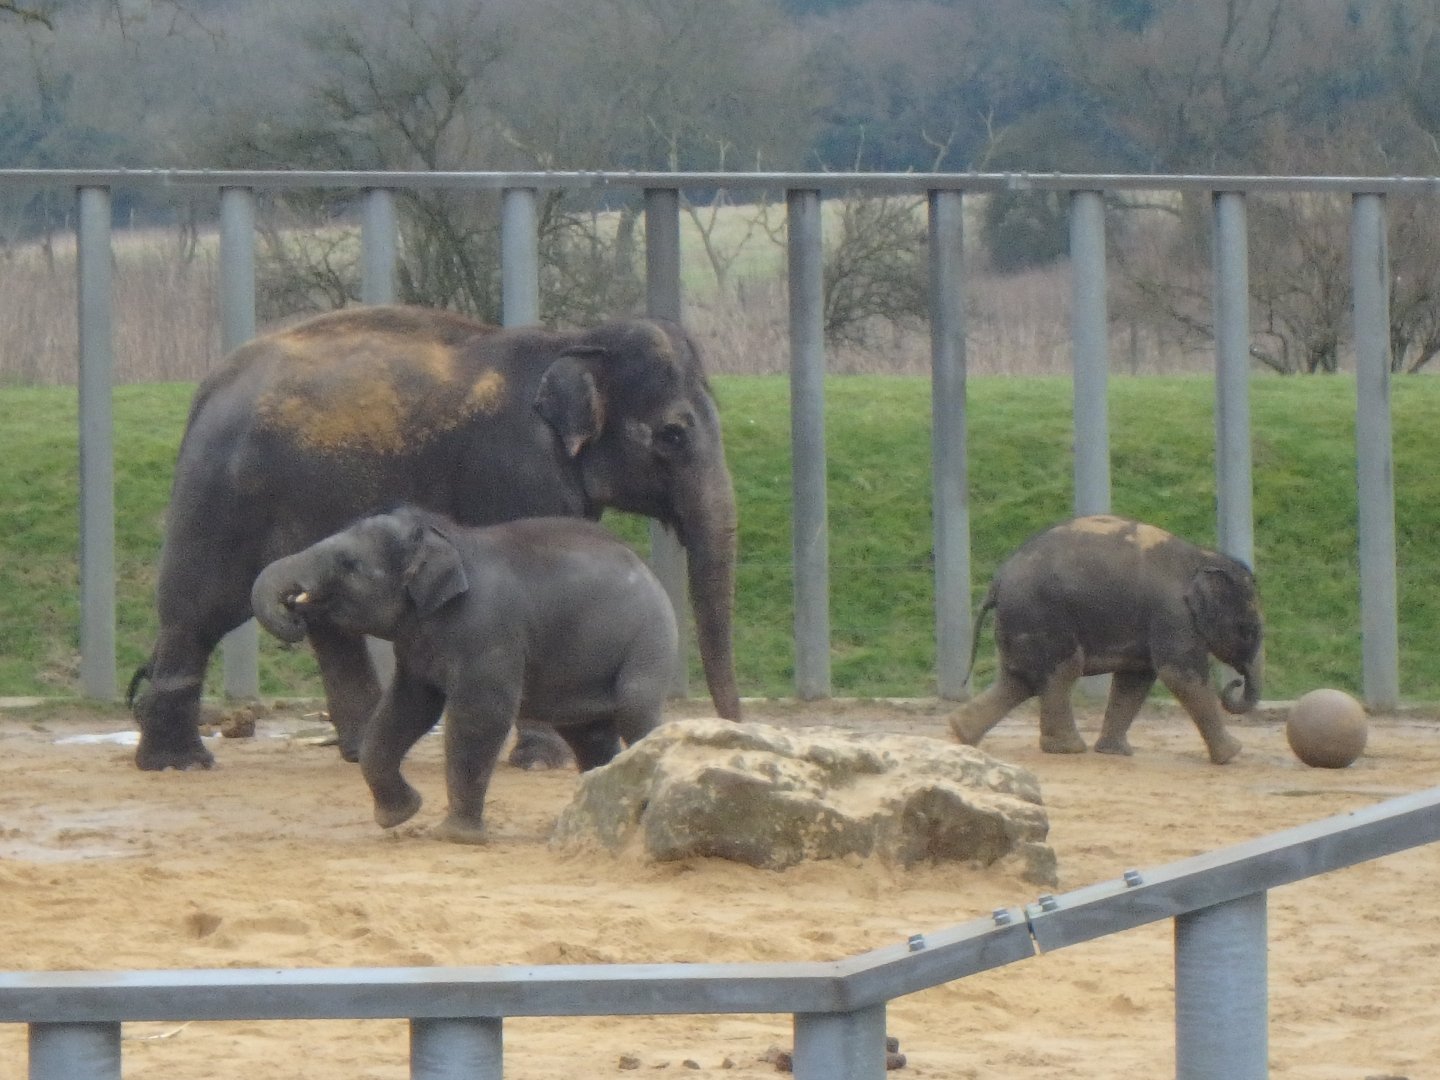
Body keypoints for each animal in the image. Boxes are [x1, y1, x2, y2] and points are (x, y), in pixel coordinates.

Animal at [128, 304, 738, 771]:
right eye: (673, 435)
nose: (734, 731)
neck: (574, 340)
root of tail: (209, 386)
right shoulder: (517, 469)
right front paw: (543, 763)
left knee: (318, 622)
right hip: (221, 500)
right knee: (197, 611)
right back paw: (179, 764)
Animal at [251, 508, 678, 843]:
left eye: (347, 563)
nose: (294, 610)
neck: (443, 536)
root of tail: (650, 570)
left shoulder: (487, 628)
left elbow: (480, 713)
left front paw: (453, 836)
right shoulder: (417, 643)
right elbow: (407, 708)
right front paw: (400, 816)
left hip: (649, 639)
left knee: (636, 710)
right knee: (590, 735)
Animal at [949, 515, 1263, 764]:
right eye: (1248, 630)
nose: (1236, 682)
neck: (1204, 557)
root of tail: (998, 582)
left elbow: (1135, 679)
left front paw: (1115, 752)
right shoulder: (1174, 614)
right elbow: (1179, 675)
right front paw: (1233, 754)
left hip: (1022, 624)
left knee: (1018, 681)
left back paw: (961, 732)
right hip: (1043, 617)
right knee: (1062, 672)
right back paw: (1068, 749)